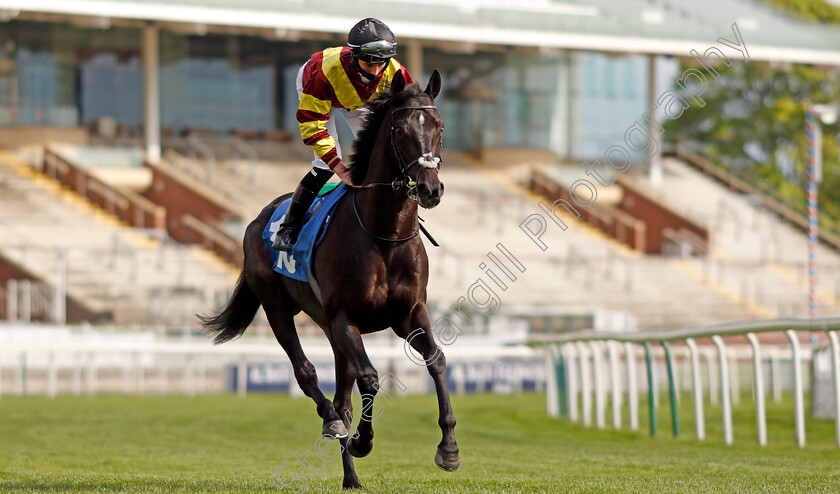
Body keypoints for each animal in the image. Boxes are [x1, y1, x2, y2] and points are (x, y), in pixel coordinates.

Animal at [198, 69, 460, 490]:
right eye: (400, 130)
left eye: (439, 126)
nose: (430, 188)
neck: (382, 234)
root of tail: (257, 219)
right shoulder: (344, 317)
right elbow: (370, 379)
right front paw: (362, 441)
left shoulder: (410, 313)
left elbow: (436, 360)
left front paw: (448, 447)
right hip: (279, 309)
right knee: (309, 377)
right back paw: (335, 426)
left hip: (329, 329)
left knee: (341, 395)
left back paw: (350, 476)